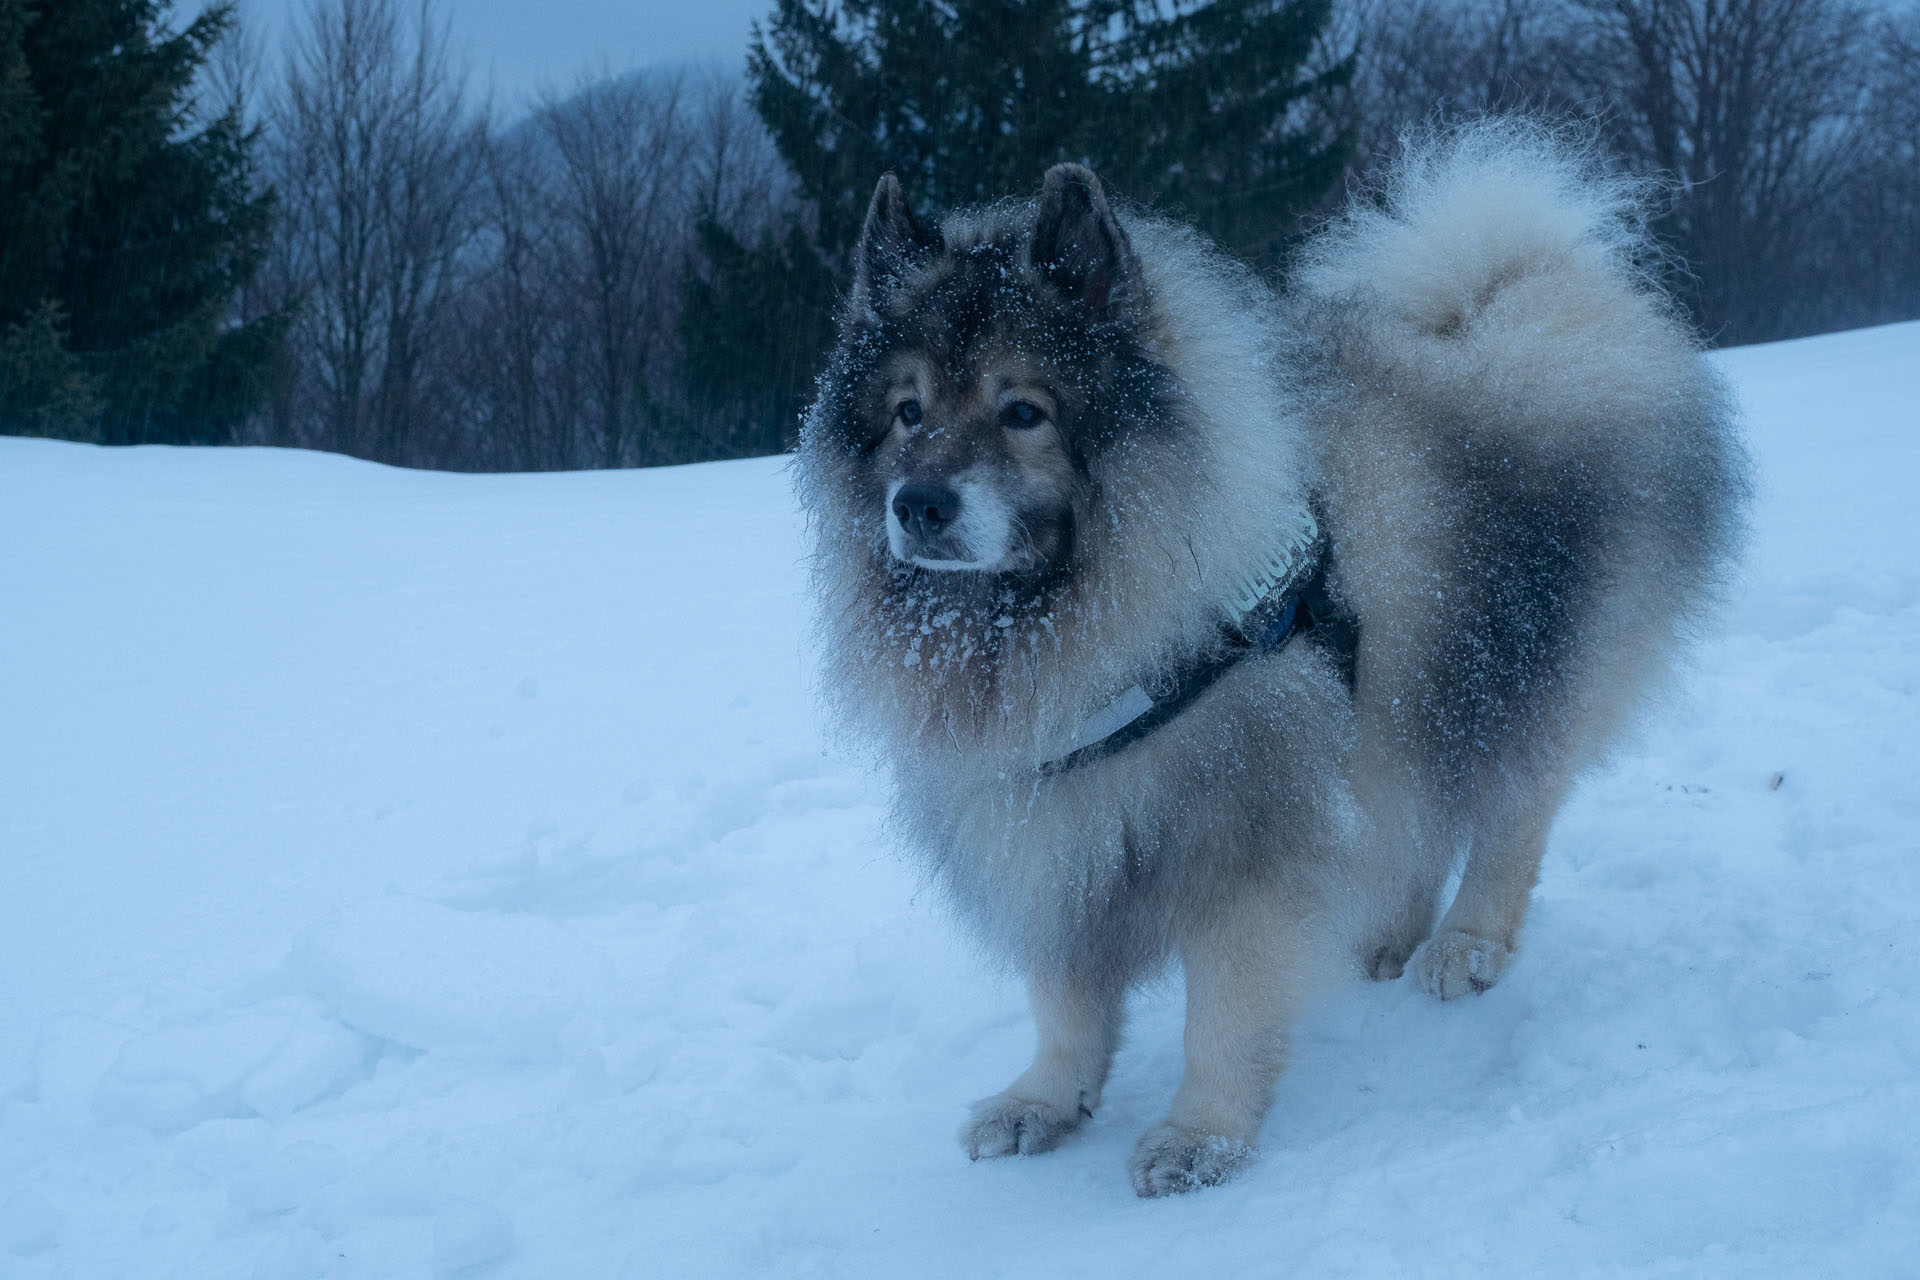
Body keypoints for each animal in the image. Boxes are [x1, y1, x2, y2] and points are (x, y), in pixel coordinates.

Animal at [787, 124, 1751, 1197]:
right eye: (908, 412)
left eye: (1023, 411)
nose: (918, 504)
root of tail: (1519, 295)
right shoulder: (1053, 825)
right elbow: (1065, 997)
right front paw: (1045, 1100)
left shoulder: (1238, 839)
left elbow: (1223, 1011)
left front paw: (1200, 1135)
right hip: (1407, 703)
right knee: (1414, 817)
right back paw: (1386, 938)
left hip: (1519, 670)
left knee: (1512, 816)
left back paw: (1465, 945)